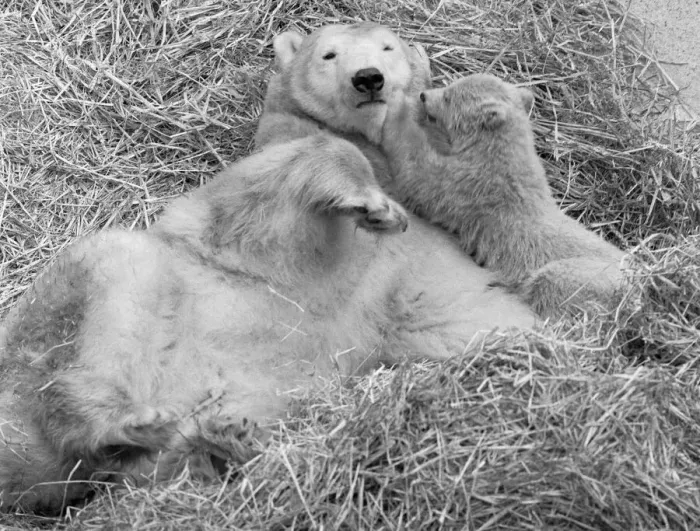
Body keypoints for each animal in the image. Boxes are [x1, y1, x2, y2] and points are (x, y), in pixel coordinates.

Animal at [0, 24, 535, 515]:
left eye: (388, 46)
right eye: (329, 53)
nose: (368, 78)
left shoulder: (421, 271)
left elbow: (469, 313)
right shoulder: (264, 185)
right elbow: (278, 195)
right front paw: (374, 207)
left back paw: (218, 439)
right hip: (74, 320)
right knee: (109, 285)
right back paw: (128, 420)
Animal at [379, 72, 628, 318]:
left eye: (449, 96)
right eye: (450, 86)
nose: (424, 95)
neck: (501, 152)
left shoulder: (473, 185)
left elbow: (420, 177)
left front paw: (396, 106)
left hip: (591, 277)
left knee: (552, 281)